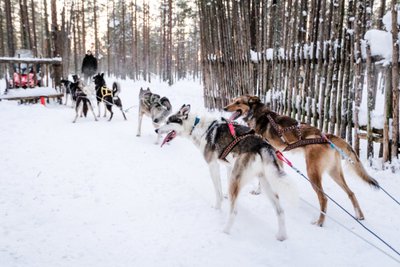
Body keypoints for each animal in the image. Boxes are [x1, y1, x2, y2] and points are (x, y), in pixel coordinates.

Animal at [156, 104, 290, 241]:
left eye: (168, 121)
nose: (156, 130)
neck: (197, 126)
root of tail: (263, 146)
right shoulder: (229, 167)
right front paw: (226, 196)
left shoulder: (213, 165)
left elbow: (218, 192)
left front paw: (217, 207)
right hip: (266, 183)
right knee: (280, 211)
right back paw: (282, 236)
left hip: (240, 179)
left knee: (234, 212)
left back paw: (225, 231)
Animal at [223, 95, 380, 227]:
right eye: (233, 100)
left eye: (238, 102)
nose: (224, 108)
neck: (258, 114)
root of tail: (327, 136)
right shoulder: (278, 155)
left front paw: (259, 190)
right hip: (334, 172)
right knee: (351, 193)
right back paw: (359, 215)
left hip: (312, 173)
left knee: (324, 198)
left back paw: (319, 222)